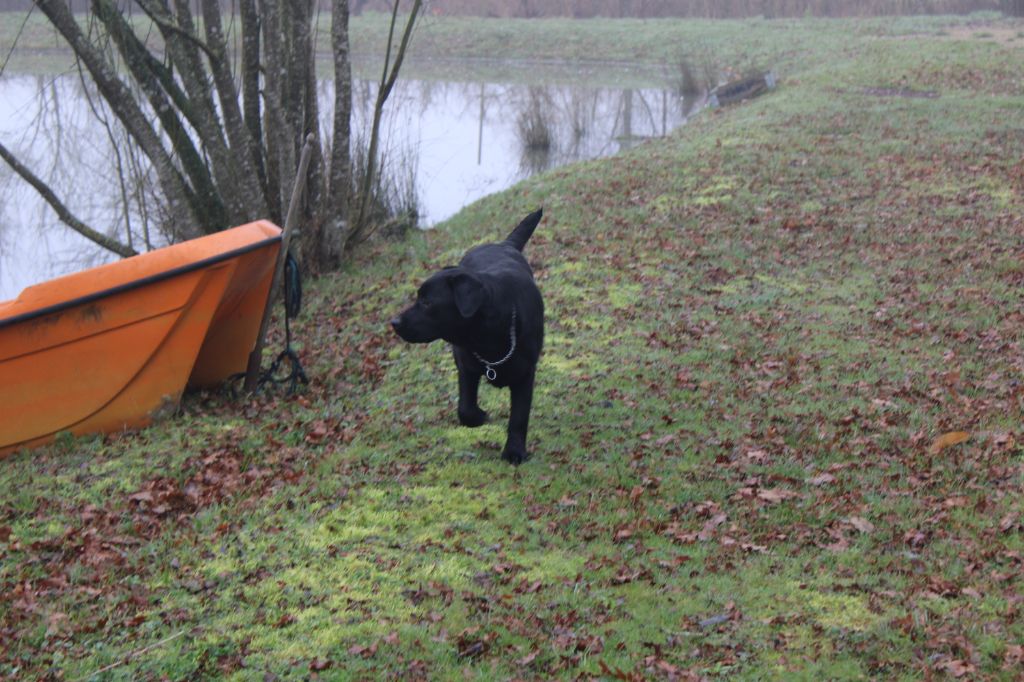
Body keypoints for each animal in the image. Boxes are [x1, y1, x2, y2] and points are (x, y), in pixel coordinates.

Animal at [389, 206, 544, 462]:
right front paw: (480, 416)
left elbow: (519, 416)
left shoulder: (525, 373)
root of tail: (503, 243)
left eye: (427, 302)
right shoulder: (466, 365)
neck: (488, 337)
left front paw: (514, 451)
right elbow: (465, 408)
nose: (394, 322)